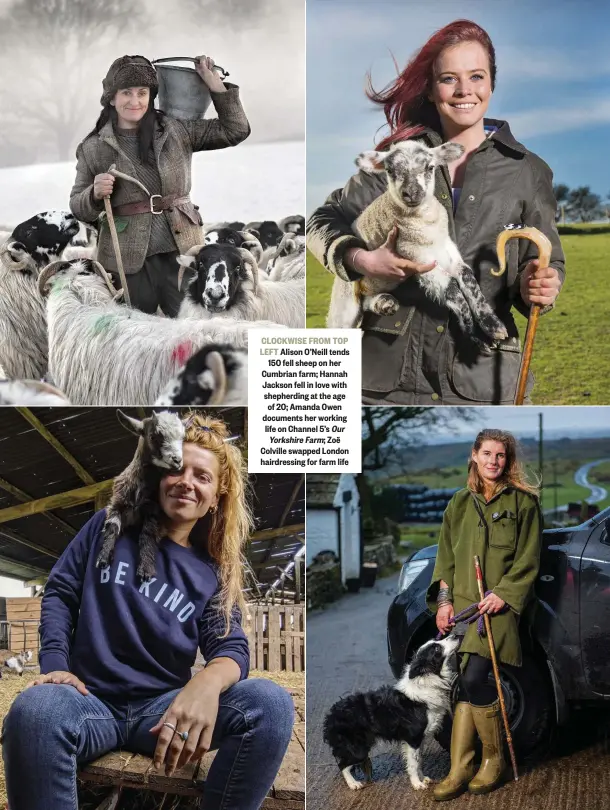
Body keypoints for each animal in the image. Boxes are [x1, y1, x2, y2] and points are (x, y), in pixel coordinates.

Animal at [95, 410, 184, 580]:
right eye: (153, 436)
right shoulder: (117, 502)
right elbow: (112, 527)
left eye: (183, 438)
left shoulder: (153, 509)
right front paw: (103, 558)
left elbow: (147, 535)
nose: (177, 461)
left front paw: (145, 570)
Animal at [324, 636, 456, 784]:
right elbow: (413, 764)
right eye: (437, 648)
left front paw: (422, 778)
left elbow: (419, 761)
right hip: (357, 749)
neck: (427, 679)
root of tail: (331, 715)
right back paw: (354, 784)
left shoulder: (418, 739)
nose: (454, 636)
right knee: (343, 765)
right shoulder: (413, 738)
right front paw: (417, 784)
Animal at [326, 140, 506, 342]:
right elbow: (452, 288)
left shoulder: (447, 249)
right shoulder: (413, 255)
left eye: (430, 167)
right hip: (344, 304)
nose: (411, 192)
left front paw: (493, 325)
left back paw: (384, 303)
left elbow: (468, 278)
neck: (427, 227)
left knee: (366, 300)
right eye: (389, 170)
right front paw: (474, 335)